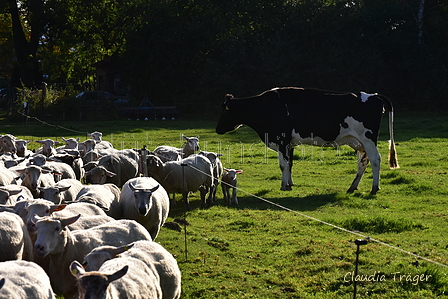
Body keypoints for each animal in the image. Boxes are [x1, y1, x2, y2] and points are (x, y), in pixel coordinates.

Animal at [215, 86, 400, 195]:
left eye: (225, 110)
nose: (217, 129)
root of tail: (374, 95)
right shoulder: (289, 143)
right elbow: (289, 164)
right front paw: (290, 184)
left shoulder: (282, 139)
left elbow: (283, 165)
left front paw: (283, 186)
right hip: (358, 142)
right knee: (363, 162)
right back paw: (352, 187)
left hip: (367, 139)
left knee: (375, 160)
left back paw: (374, 188)